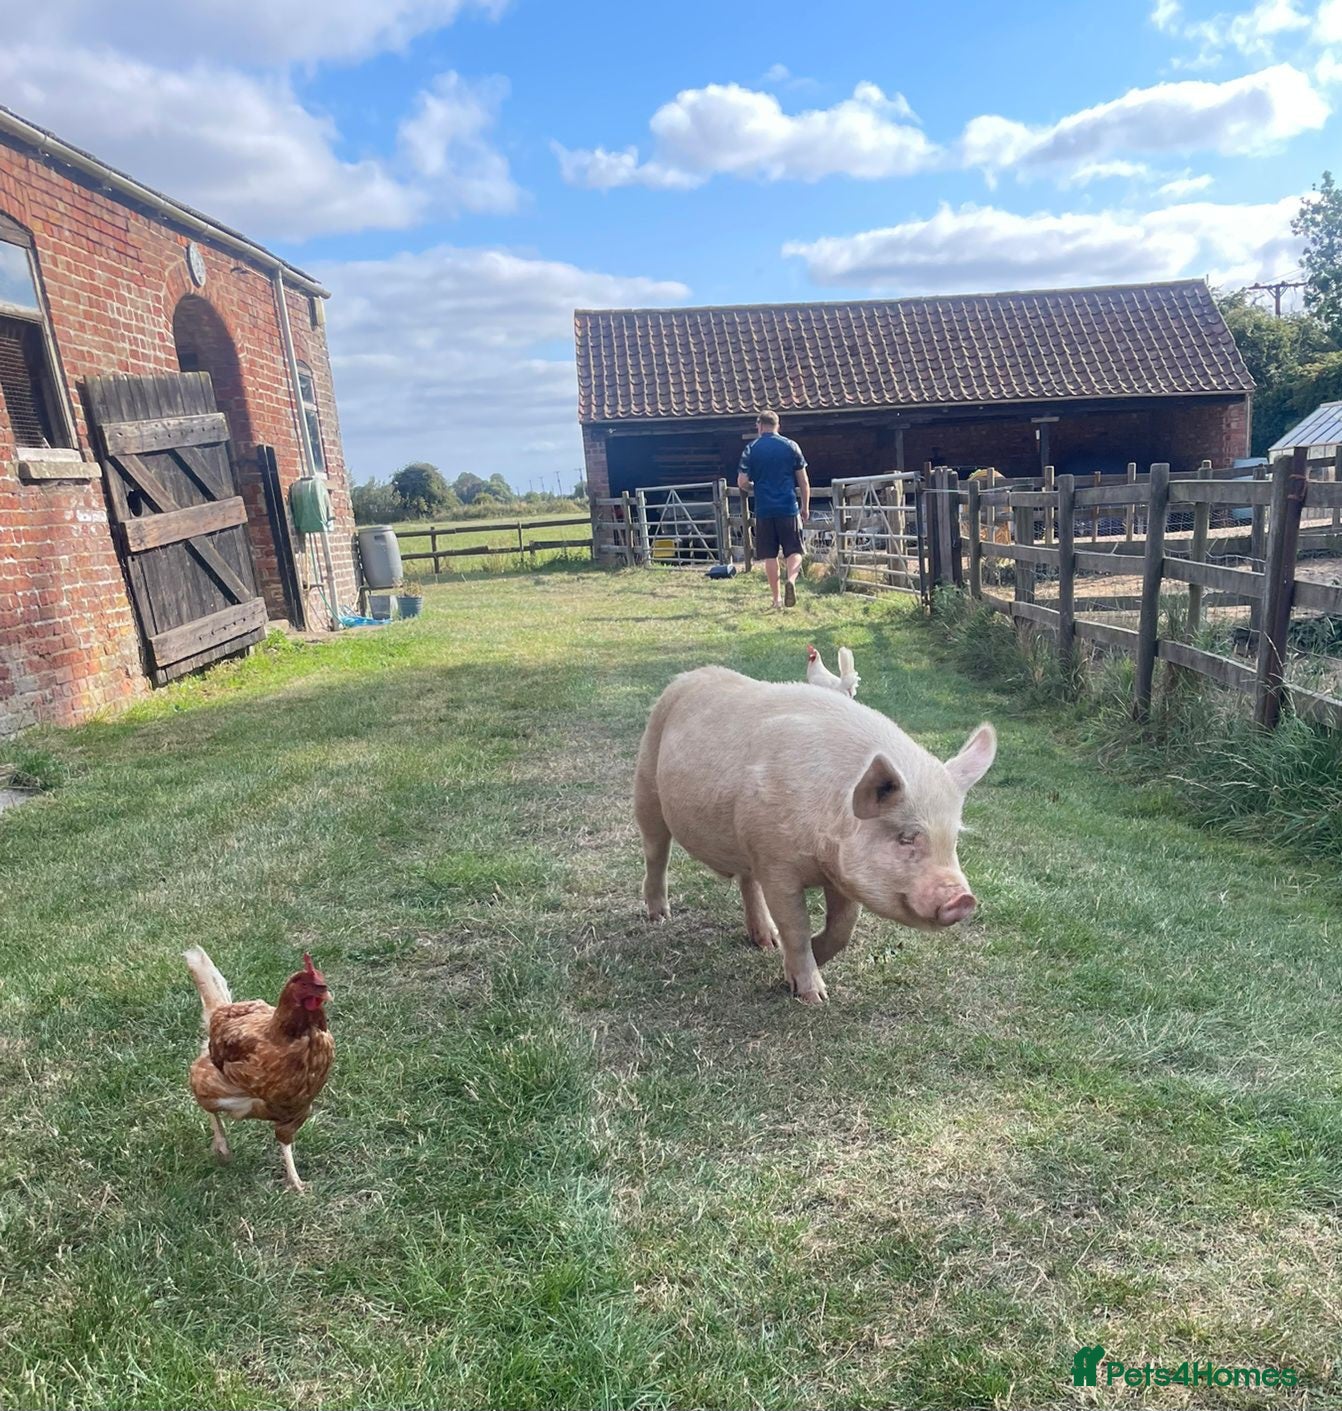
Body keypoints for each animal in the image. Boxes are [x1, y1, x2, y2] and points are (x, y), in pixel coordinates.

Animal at [633, 667, 996, 1003]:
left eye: (953, 840)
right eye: (906, 837)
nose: (963, 899)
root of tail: (686, 677)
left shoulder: (840, 875)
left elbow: (843, 927)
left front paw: (808, 959)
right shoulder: (776, 864)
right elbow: (796, 928)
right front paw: (814, 996)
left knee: (747, 880)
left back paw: (766, 942)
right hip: (647, 782)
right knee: (656, 852)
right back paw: (659, 917)